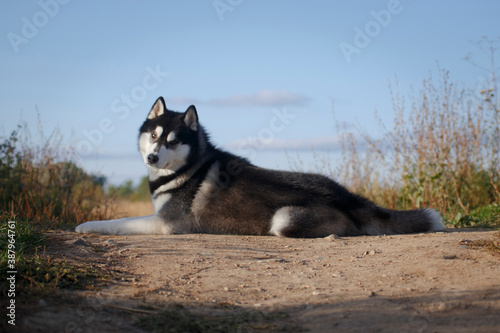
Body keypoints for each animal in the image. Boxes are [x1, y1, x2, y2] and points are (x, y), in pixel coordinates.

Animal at [76, 96, 444, 236]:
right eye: (153, 135)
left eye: (173, 141)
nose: (151, 157)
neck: (188, 168)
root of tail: (347, 197)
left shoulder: (167, 223)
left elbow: (118, 222)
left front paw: (86, 225)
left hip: (283, 219)